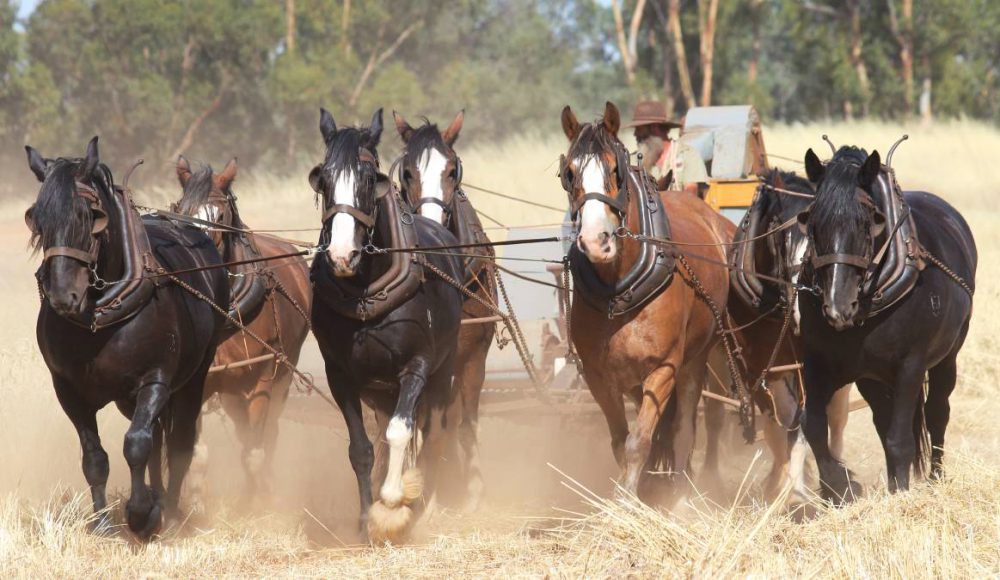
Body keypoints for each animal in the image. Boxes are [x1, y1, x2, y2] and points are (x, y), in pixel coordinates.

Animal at [24, 137, 228, 539]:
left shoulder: (155, 380)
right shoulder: (68, 390)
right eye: (37, 218)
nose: (62, 295)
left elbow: (136, 445)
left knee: (176, 441)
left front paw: (140, 515)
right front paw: (104, 523)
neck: (98, 317)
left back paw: (171, 510)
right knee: (157, 437)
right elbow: (95, 458)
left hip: (193, 376)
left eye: (91, 215)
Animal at [172, 157, 311, 505]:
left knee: (267, 432)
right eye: (180, 211)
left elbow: (254, 450)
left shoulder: (261, 376)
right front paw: (195, 503)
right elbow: (196, 453)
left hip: (282, 373)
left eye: (219, 217)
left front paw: (257, 503)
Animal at [308, 108, 464, 542]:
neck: (366, 291)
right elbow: (361, 448)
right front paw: (365, 519)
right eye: (323, 180)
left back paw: (424, 506)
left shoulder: (417, 366)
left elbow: (401, 431)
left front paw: (394, 503)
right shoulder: (339, 374)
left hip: (443, 371)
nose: (342, 256)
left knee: (432, 434)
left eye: (367, 179)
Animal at [560, 102, 732, 498]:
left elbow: (641, 440)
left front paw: (626, 501)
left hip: (702, 356)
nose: (596, 241)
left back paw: (682, 491)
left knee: (687, 427)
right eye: (569, 173)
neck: (618, 291)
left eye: (615, 170)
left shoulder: (664, 367)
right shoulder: (599, 375)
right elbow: (621, 441)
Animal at [795, 146, 976, 501]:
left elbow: (900, 439)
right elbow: (815, 427)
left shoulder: (911, 365)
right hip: (871, 377)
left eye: (869, 223)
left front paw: (901, 493)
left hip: (947, 357)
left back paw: (934, 478)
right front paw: (838, 486)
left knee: (936, 413)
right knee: (882, 419)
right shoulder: (819, 363)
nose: (838, 306)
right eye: (812, 223)